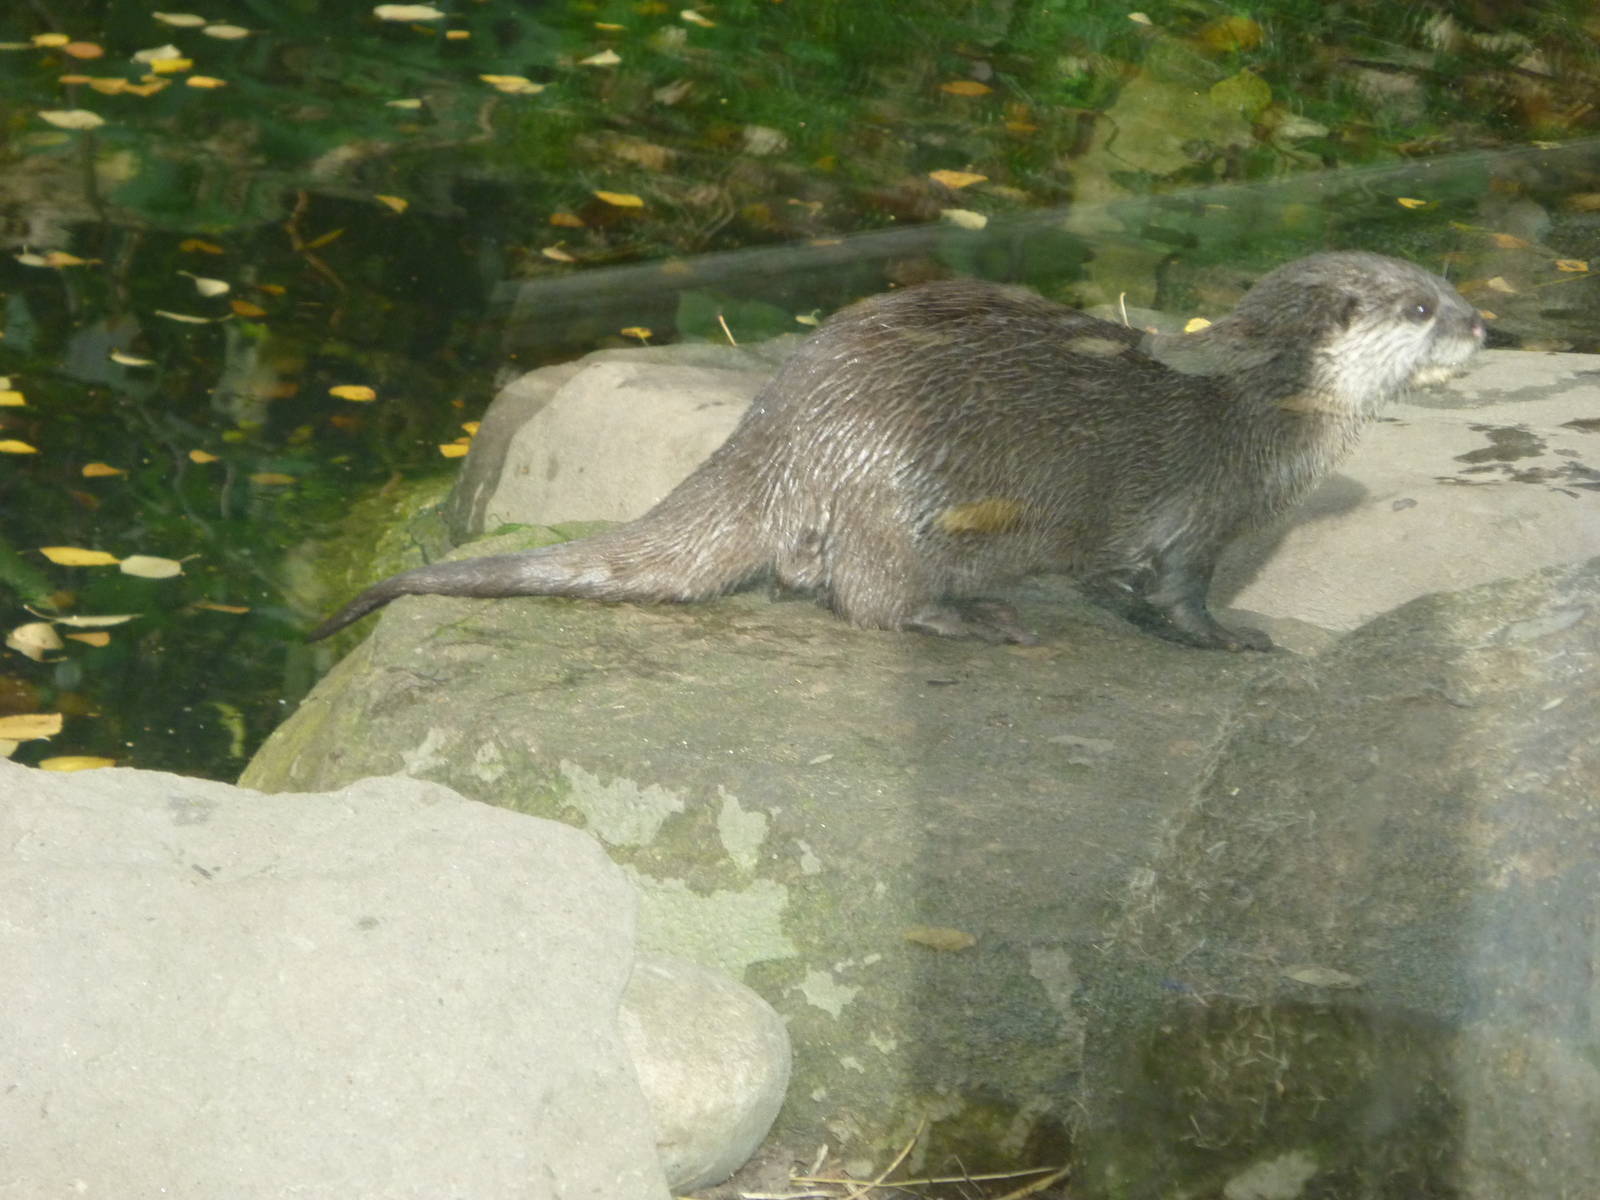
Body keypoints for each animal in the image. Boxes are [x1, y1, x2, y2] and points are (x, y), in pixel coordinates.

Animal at [310, 251, 1483, 650]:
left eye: (1450, 285)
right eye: (1422, 307)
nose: (1484, 324)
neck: (1264, 409)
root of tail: (780, 425)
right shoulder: (1201, 513)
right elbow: (1170, 594)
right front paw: (1228, 639)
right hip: (888, 489)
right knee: (865, 596)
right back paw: (963, 616)